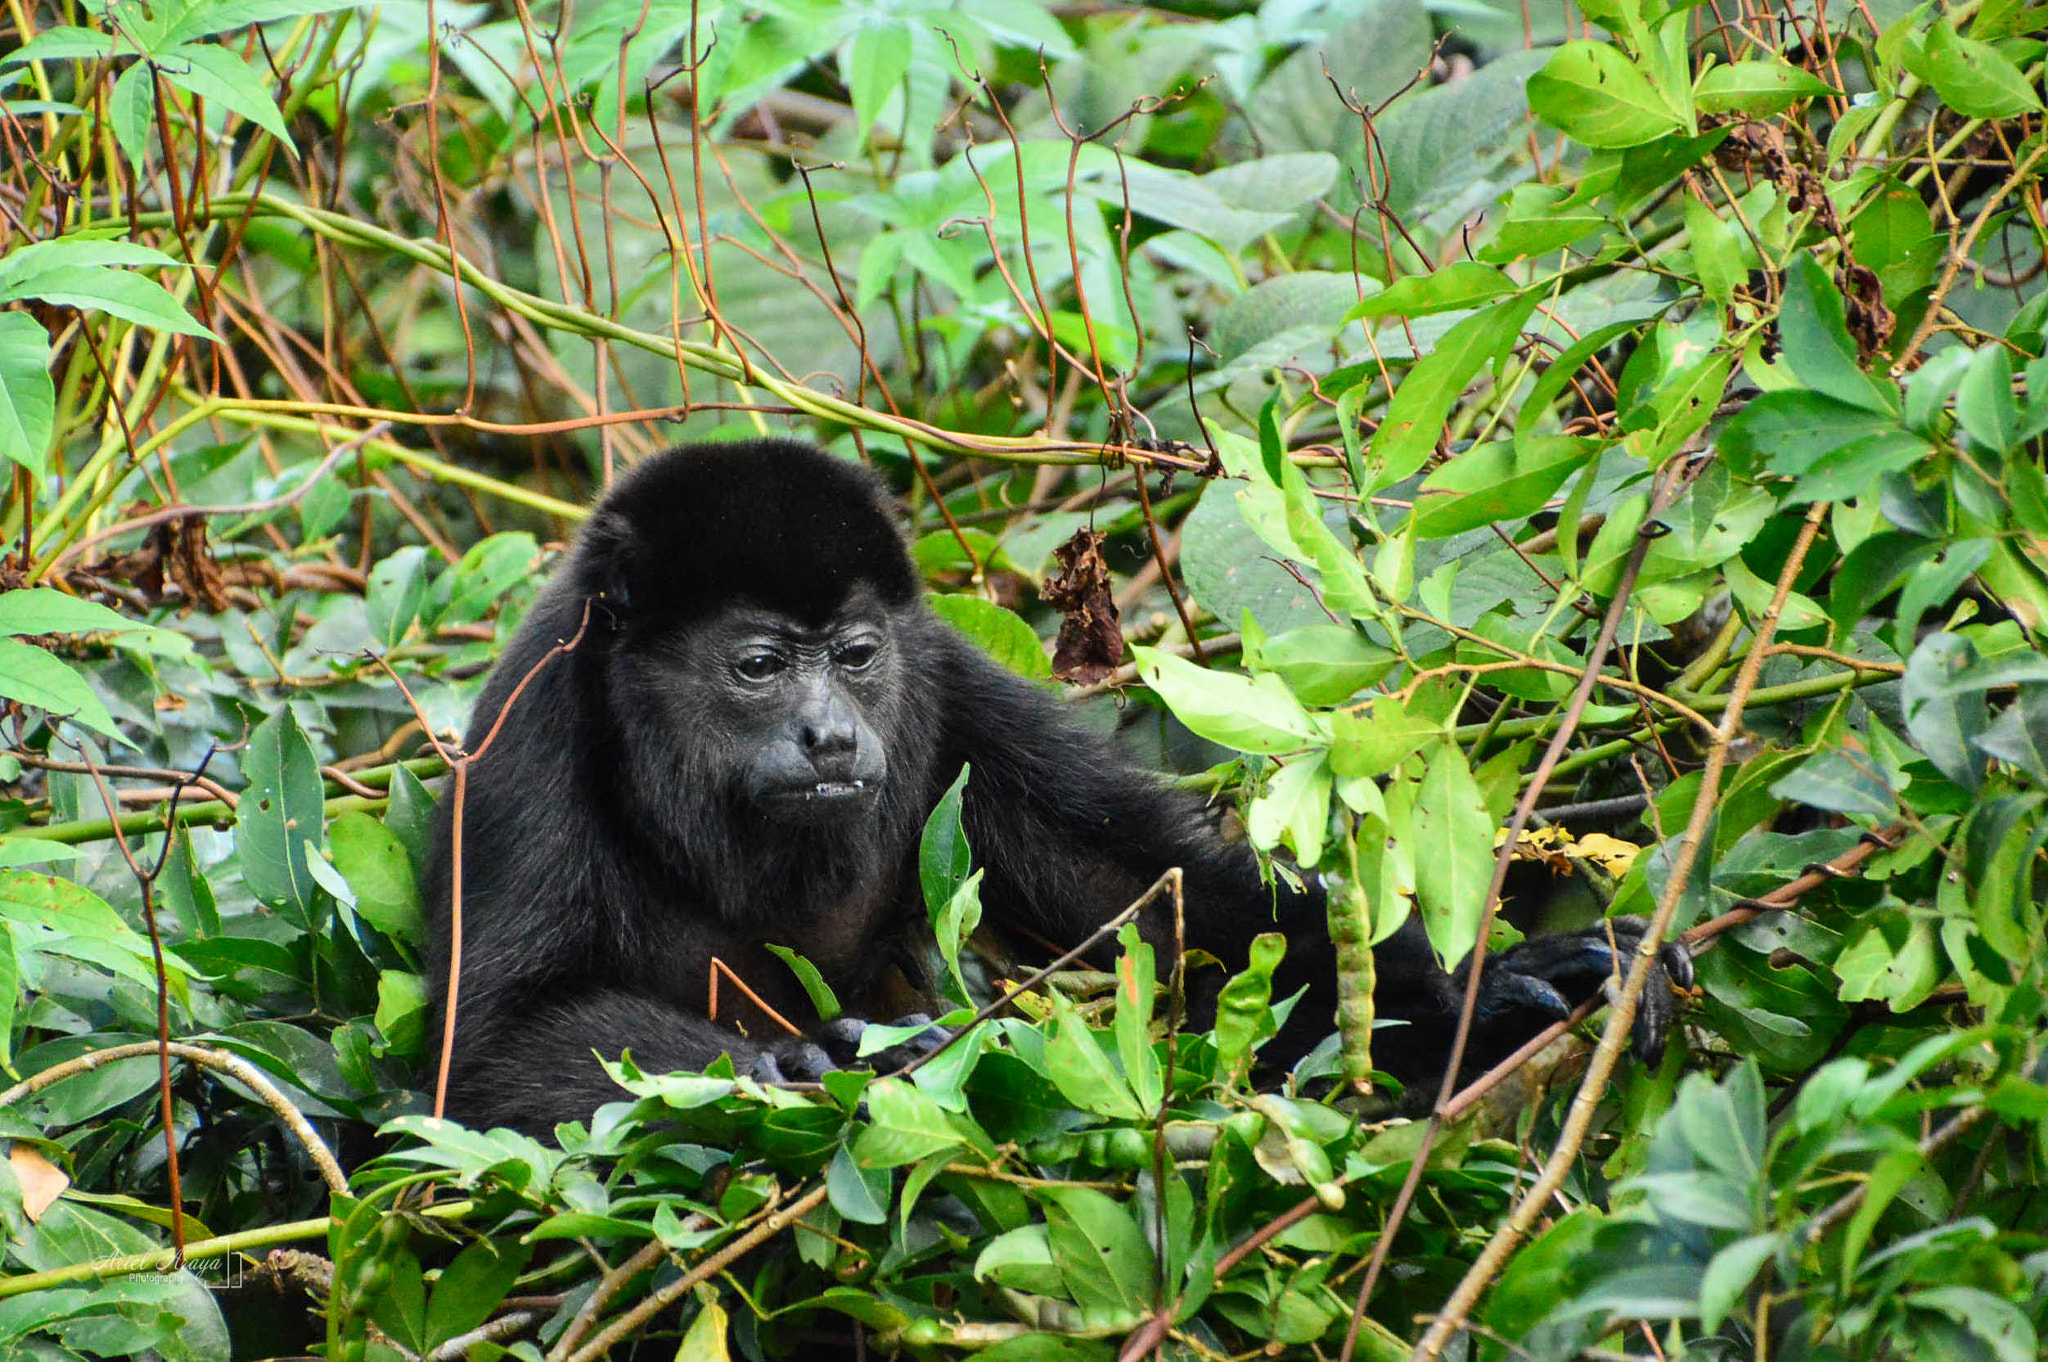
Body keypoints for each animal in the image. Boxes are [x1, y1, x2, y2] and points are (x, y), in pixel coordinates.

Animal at [425, 439, 1690, 1135]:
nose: (831, 736)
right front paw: (781, 1064)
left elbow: (1160, 900)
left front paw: (1498, 989)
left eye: (855, 654)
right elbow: (480, 1050)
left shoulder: (944, 683)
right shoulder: (531, 735)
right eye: (756, 666)